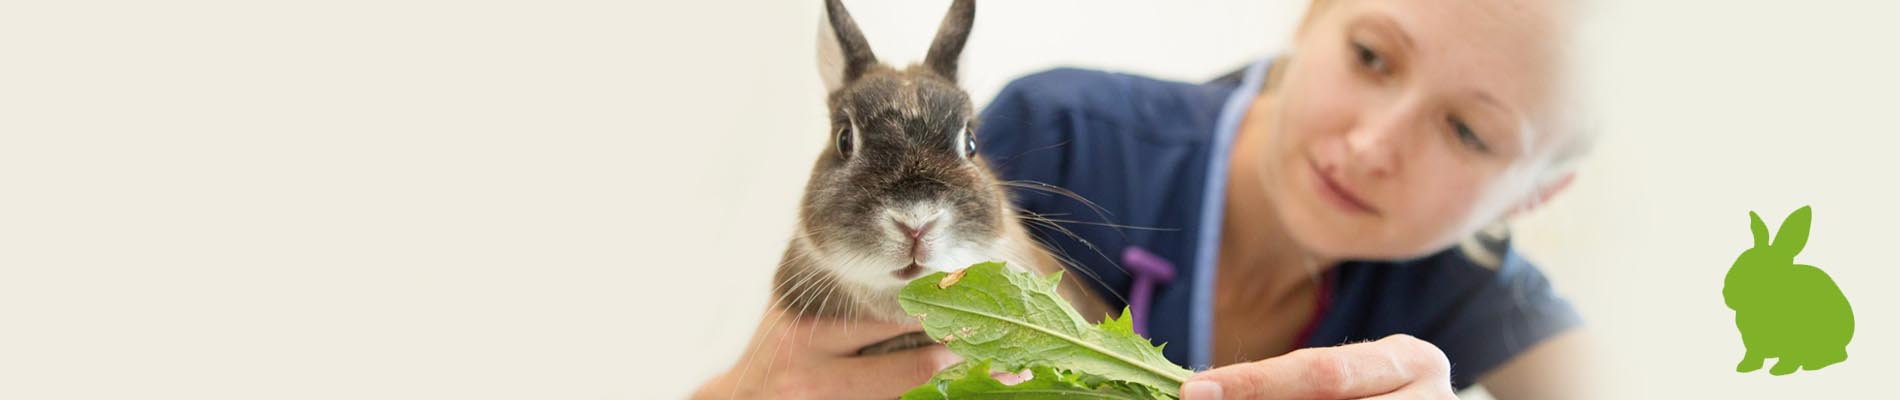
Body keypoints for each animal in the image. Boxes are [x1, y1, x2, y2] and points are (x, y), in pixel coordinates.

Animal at [1723, 205, 1854, 375]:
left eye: (1764, 271)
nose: (1726, 293)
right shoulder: (1751, 344)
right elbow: (1753, 355)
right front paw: (1745, 367)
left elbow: (1789, 357)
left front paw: (1780, 370)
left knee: (1837, 355)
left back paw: (1813, 364)